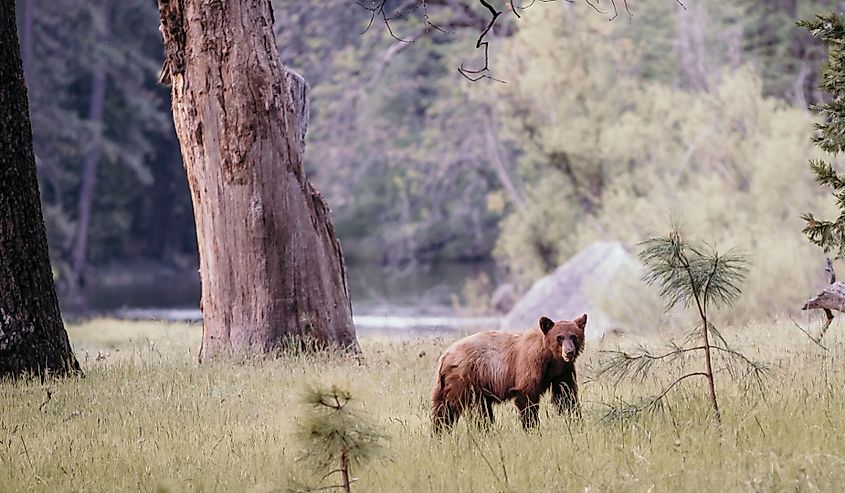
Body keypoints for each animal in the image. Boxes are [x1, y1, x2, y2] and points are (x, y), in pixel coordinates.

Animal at [432, 314, 584, 428]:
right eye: (559, 337)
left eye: (574, 336)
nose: (569, 352)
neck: (551, 357)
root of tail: (445, 356)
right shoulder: (530, 364)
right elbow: (527, 395)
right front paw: (532, 427)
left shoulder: (562, 371)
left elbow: (566, 394)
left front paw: (575, 419)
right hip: (466, 379)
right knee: (468, 409)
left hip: (449, 384)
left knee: (443, 409)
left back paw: (440, 431)